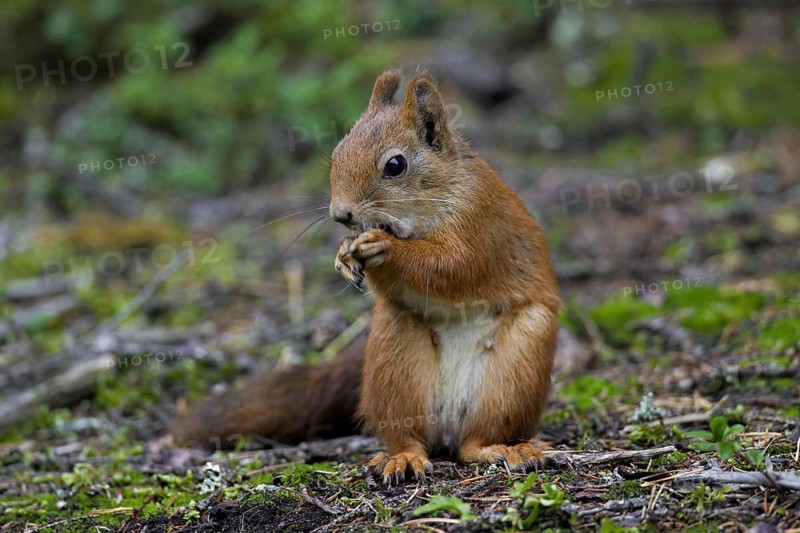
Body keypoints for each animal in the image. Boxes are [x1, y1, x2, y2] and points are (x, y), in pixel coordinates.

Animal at [172, 69, 560, 483]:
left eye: (395, 165)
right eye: (337, 152)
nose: (340, 215)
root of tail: (450, 430)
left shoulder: (481, 226)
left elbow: (454, 266)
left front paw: (386, 249)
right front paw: (343, 255)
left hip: (521, 361)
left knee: (475, 441)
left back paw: (502, 448)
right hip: (394, 352)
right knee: (407, 433)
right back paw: (403, 457)